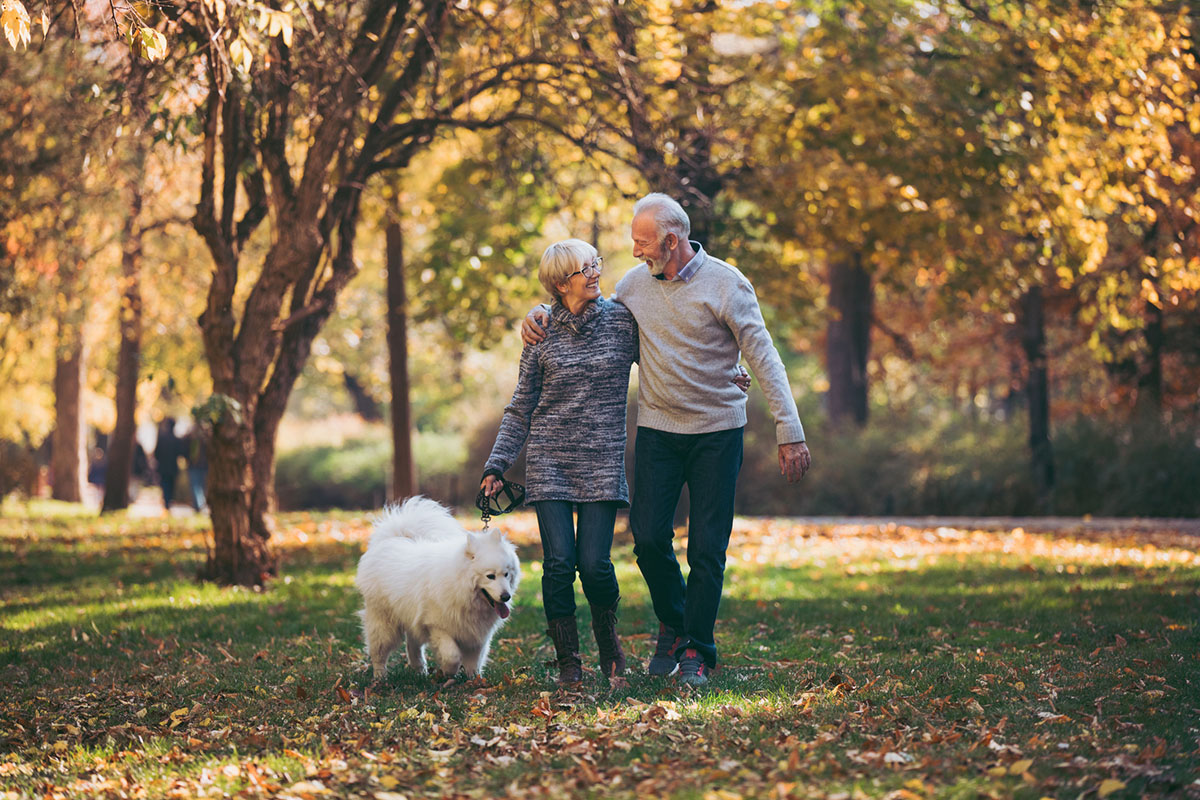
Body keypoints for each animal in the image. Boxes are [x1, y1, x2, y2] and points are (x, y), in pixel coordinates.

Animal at [352, 496, 518, 681]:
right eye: (490, 576)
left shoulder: (476, 636)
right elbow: (452, 655)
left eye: (506, 574)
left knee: (412, 647)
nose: (506, 597)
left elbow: (474, 662)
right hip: (383, 623)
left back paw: (420, 672)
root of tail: (392, 539)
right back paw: (380, 678)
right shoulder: (437, 626)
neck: (460, 588)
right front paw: (448, 673)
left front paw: (473, 680)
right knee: (379, 652)